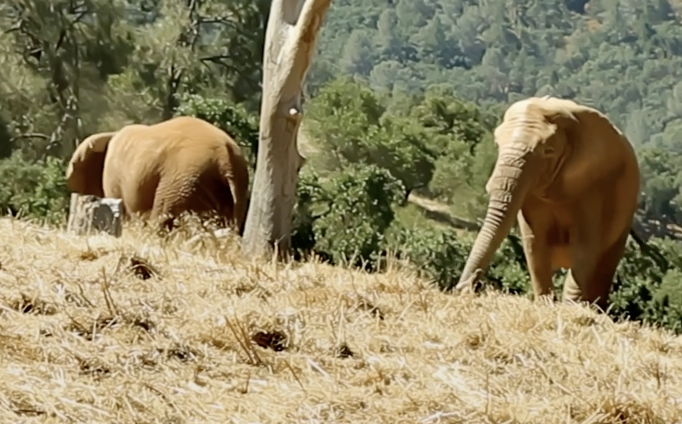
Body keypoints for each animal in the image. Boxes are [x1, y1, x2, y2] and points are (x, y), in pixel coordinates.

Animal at [454, 96, 640, 311]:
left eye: (548, 151)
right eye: (497, 144)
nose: (470, 287)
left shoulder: (593, 187)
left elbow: (585, 246)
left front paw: (570, 309)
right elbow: (534, 243)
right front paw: (545, 305)